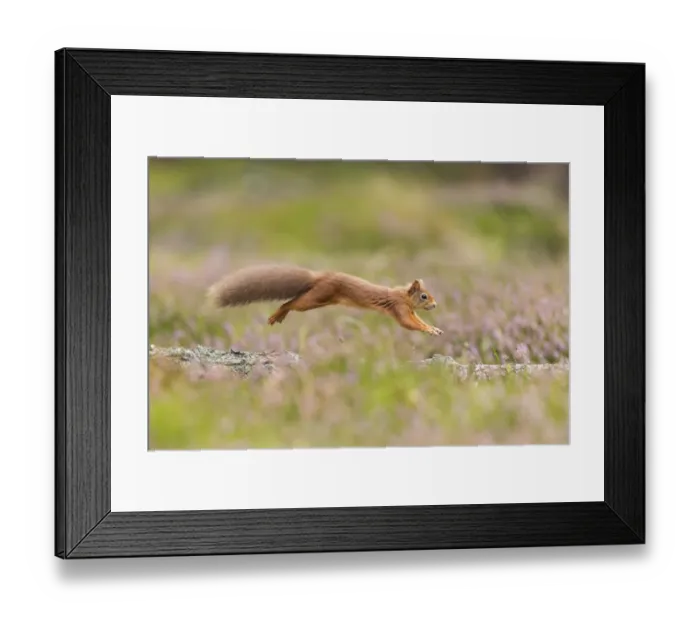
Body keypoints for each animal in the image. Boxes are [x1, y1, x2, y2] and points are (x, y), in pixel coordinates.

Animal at [207, 264, 443, 336]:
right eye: (424, 296)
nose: (435, 304)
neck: (403, 295)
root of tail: (320, 276)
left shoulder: (410, 311)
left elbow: (418, 322)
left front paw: (435, 329)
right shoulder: (400, 308)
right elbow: (409, 324)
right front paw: (430, 330)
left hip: (320, 300)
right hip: (315, 298)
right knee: (289, 303)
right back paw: (277, 315)